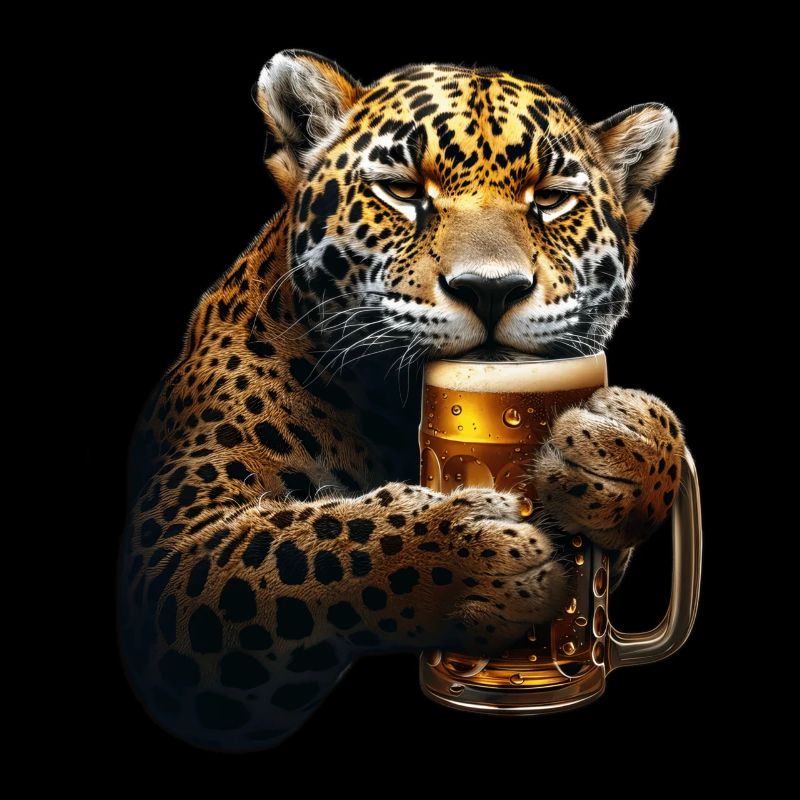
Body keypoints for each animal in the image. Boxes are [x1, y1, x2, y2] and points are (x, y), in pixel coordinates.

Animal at [119, 50, 684, 751]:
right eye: (404, 190)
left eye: (552, 199)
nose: (491, 289)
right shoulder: (168, 558)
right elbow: (304, 548)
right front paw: (469, 552)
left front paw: (625, 448)